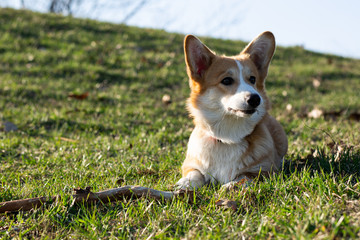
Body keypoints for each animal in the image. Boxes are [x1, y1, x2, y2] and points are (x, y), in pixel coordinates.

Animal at [176, 31, 288, 189]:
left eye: (252, 79)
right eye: (227, 80)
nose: (255, 99)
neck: (228, 138)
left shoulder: (264, 171)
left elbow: (245, 176)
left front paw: (230, 186)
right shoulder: (190, 164)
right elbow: (195, 173)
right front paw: (185, 183)